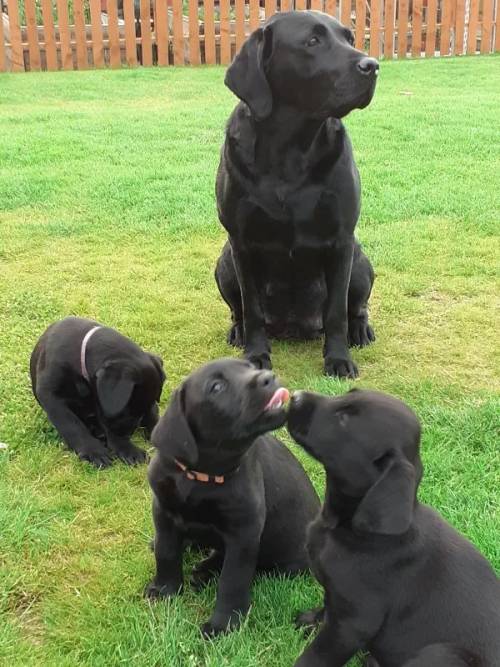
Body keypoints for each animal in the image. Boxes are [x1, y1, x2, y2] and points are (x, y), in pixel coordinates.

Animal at [145, 360, 318, 636]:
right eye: (217, 386)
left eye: (251, 366)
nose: (269, 377)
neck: (202, 477)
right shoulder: (163, 510)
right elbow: (166, 551)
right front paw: (165, 589)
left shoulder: (244, 532)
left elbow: (232, 579)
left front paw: (223, 625)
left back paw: (205, 571)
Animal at [215, 10, 378, 378]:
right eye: (312, 41)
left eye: (349, 38)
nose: (373, 65)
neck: (289, 148)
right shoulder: (241, 243)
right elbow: (252, 309)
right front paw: (255, 354)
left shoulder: (342, 240)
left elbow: (336, 312)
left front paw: (338, 359)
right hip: (224, 263)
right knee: (239, 311)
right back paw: (237, 332)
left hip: (360, 261)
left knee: (356, 307)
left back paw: (360, 330)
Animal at [286, 388, 500, 667]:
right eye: (348, 394)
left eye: (344, 419)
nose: (295, 396)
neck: (350, 528)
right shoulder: (337, 600)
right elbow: (326, 607)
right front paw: (311, 620)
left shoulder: (353, 623)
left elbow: (316, 656)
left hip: (443, 654)